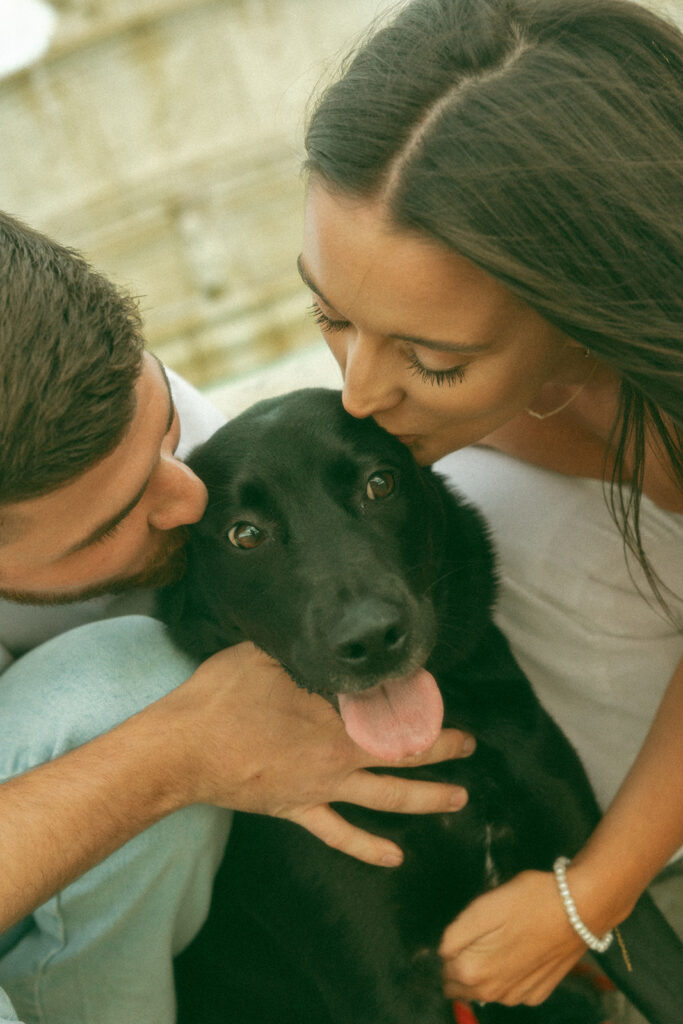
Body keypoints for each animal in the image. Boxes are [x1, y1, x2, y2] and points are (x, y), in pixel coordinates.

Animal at [161, 387, 683, 1019]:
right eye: (245, 535)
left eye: (379, 484)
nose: (371, 638)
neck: (430, 763)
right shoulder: (383, 986)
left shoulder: (585, 877)